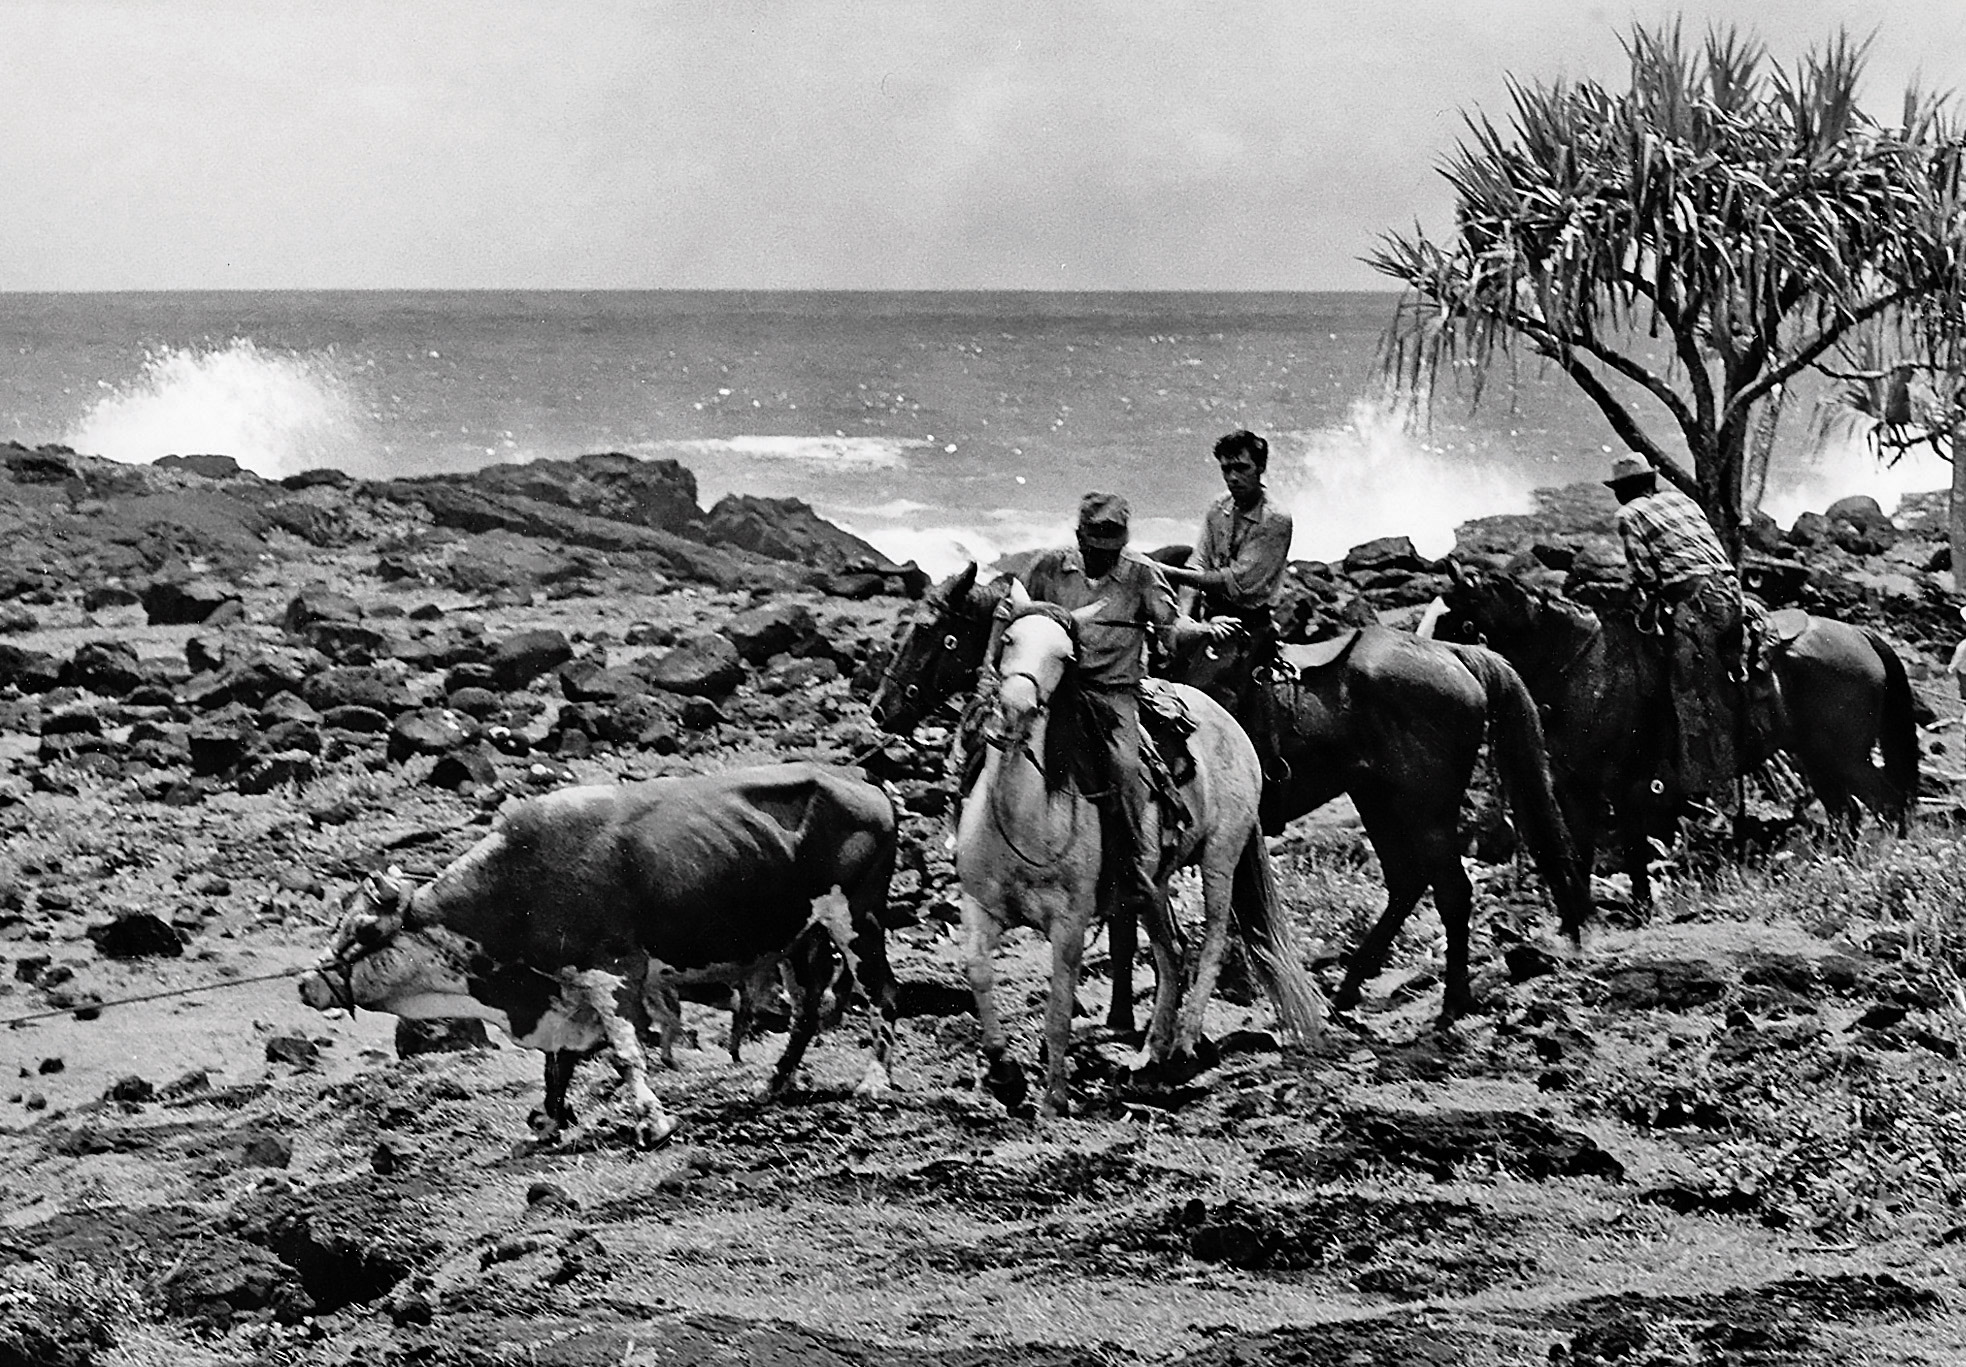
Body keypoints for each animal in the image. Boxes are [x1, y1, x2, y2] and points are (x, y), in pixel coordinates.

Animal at [296, 763, 900, 1148]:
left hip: (857, 919)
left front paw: (652, 1123)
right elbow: (557, 1063)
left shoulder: (613, 974)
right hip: (799, 936)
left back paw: (873, 1081)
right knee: (806, 1009)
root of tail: (859, 778)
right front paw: (548, 1123)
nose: (305, 982)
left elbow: (627, 1053)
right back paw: (774, 1084)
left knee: (882, 993)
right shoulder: (564, 989)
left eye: (362, 930)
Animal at [876, 562, 1596, 1022]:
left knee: (1450, 890)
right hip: (1382, 800)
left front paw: (1125, 1015)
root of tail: (1456, 657)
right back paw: (1347, 990)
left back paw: (1448, 1004)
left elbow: (1128, 927)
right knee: (1406, 882)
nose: (882, 707)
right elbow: (1127, 925)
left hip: (1424, 808)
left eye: (934, 631)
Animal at [955, 605, 1321, 1117]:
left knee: (1211, 943)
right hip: (1153, 885)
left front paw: (1054, 1098)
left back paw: (1184, 1046)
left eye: (1065, 656)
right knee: (1172, 954)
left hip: (1221, 857)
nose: (1015, 709)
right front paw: (1004, 1075)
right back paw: (1152, 1054)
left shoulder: (1069, 924)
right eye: (1008, 639)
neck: (1022, 814)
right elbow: (979, 973)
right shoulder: (979, 907)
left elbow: (1058, 1010)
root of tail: (1226, 720)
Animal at [1439, 562, 1910, 904]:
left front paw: (1641, 910)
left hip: (1846, 757)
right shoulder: (1579, 787)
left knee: (1886, 803)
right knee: (1846, 815)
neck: (1590, 665)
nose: (1446, 670)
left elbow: (1631, 850)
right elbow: (1582, 850)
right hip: (1818, 758)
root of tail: (1861, 635)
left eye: (1457, 620)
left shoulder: (1622, 784)